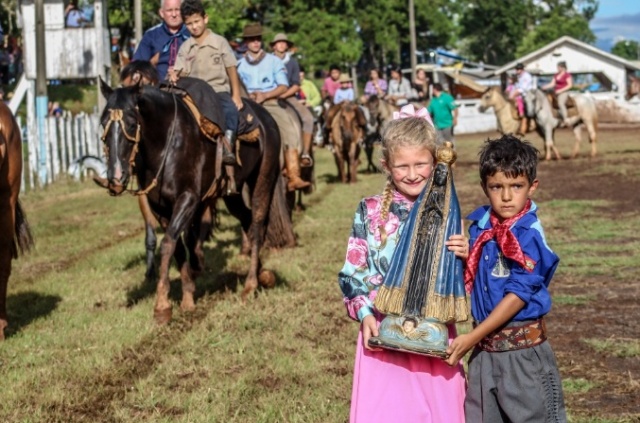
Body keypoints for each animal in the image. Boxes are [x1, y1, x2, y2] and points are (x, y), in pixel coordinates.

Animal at [99, 78, 284, 324]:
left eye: (130, 123)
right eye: (102, 123)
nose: (116, 177)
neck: (166, 142)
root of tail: (266, 118)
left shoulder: (188, 199)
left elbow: (168, 243)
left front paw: (162, 305)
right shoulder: (160, 208)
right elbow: (177, 246)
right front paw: (187, 298)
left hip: (264, 178)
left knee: (257, 222)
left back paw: (251, 284)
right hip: (232, 194)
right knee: (247, 220)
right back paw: (262, 273)